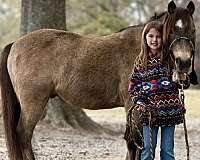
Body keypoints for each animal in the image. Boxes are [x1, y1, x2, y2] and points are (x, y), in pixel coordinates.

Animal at [0, 0, 196, 159]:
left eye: (193, 30)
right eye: (171, 31)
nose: (184, 62)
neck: (143, 48)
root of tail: (15, 43)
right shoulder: (133, 105)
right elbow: (134, 144)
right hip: (33, 103)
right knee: (24, 135)